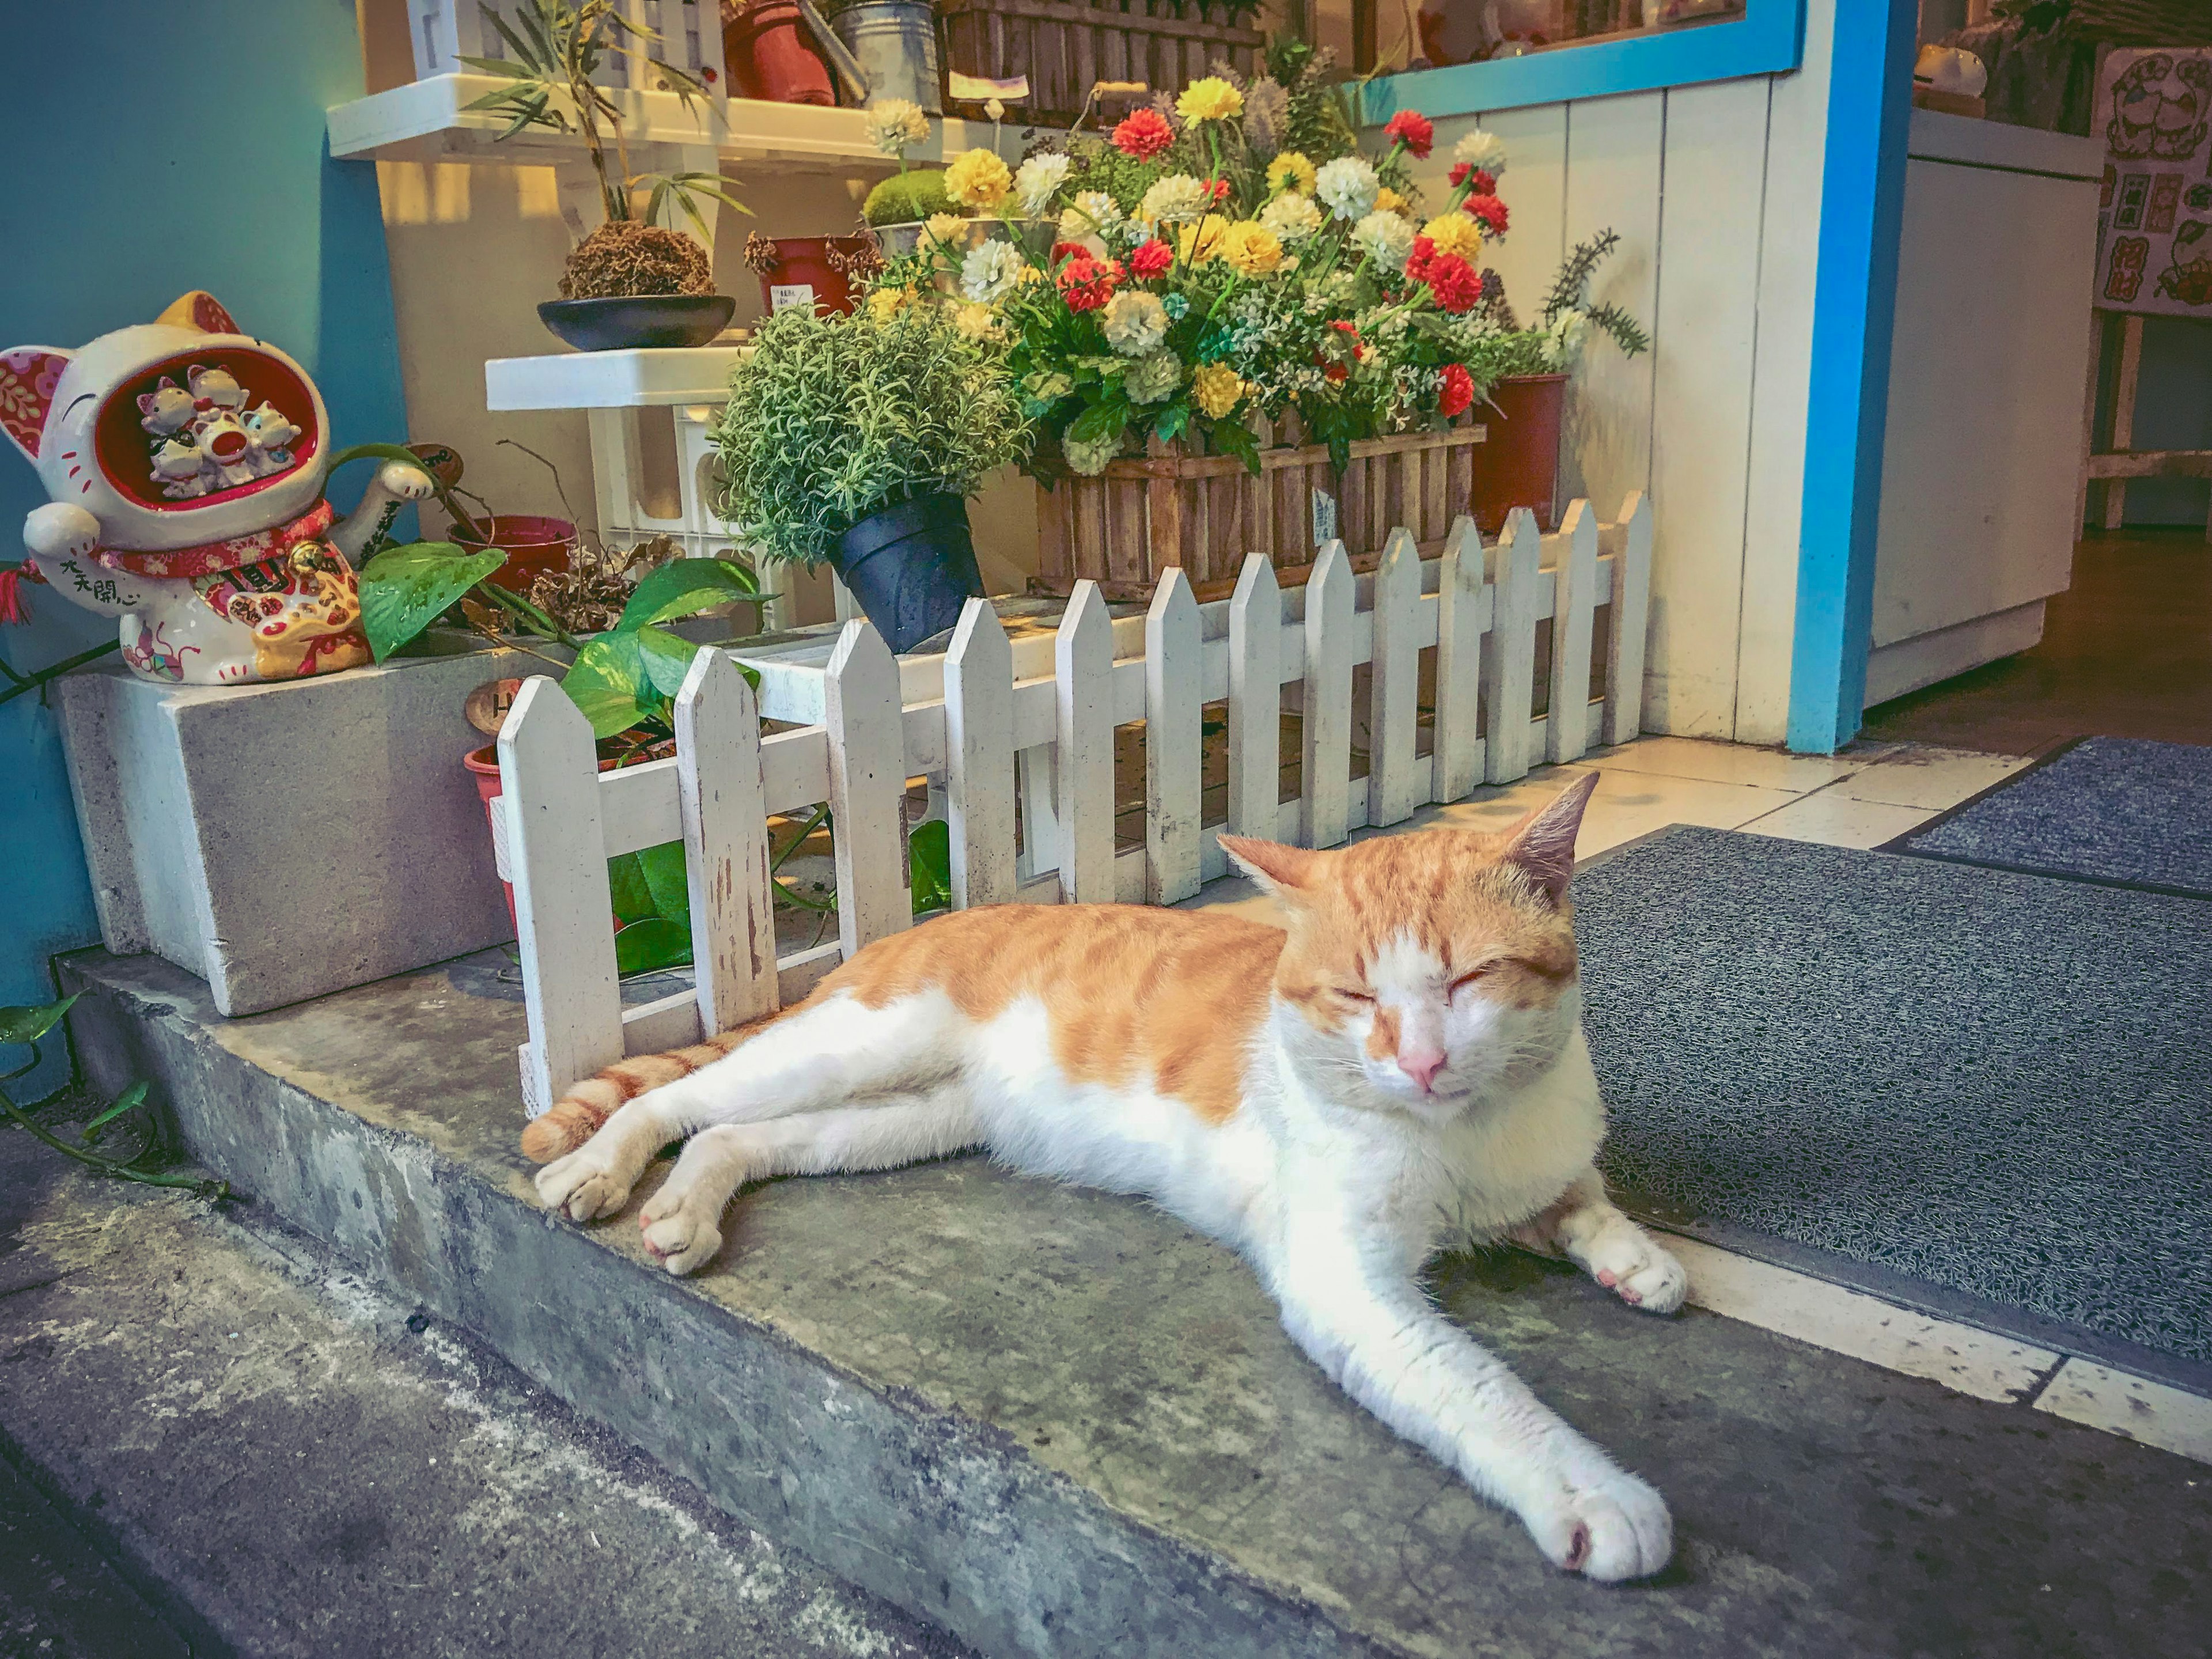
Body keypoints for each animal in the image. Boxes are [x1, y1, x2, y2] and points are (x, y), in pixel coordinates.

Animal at [526, 778, 1681, 1584]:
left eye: (1472, 979)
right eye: (1356, 996)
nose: (1425, 1062)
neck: (1466, 1138)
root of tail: (922, 923)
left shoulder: (1544, 1153)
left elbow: (1581, 1196)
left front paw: (1638, 1260)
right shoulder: (1346, 1282)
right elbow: (1480, 1392)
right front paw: (1594, 1493)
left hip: (902, 1118)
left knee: (734, 1137)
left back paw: (686, 1205)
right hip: (851, 1049)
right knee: (683, 1100)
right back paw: (599, 1166)